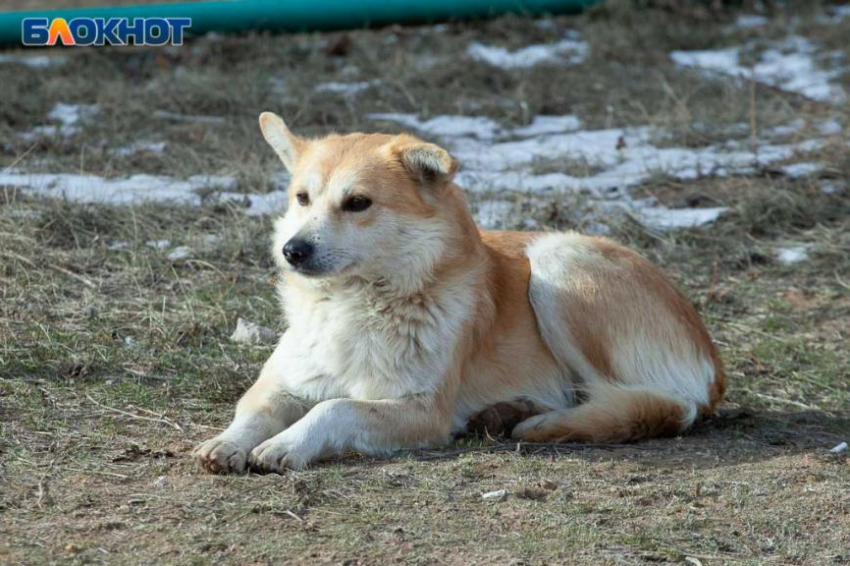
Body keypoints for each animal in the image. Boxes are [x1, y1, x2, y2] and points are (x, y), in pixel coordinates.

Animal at [192, 112, 724, 474]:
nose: (293, 251)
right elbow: (255, 410)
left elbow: (335, 407)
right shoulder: (283, 383)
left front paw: (287, 444)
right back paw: (508, 413)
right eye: (302, 198)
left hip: (556, 261)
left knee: (662, 405)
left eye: (358, 203)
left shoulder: (422, 410)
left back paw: (543, 424)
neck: (353, 302)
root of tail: (713, 363)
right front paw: (227, 443)